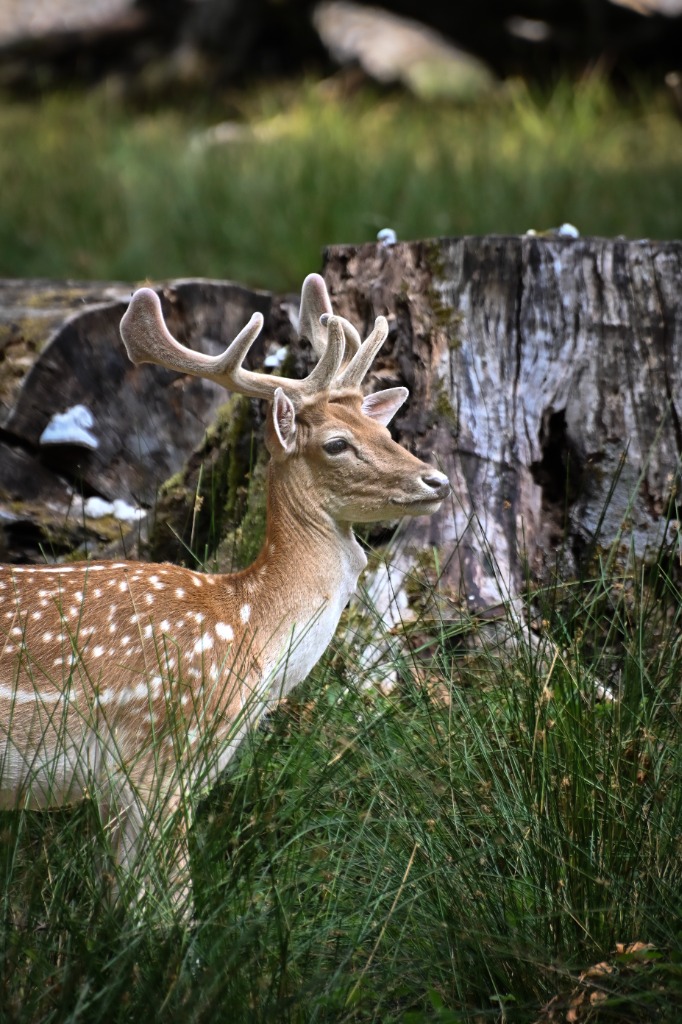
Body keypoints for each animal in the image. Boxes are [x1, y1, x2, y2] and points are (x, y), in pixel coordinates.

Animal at [0, 274, 450, 913]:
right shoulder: (159, 754)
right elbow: (167, 908)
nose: (437, 480)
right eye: (337, 443)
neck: (246, 631)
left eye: (385, 429)